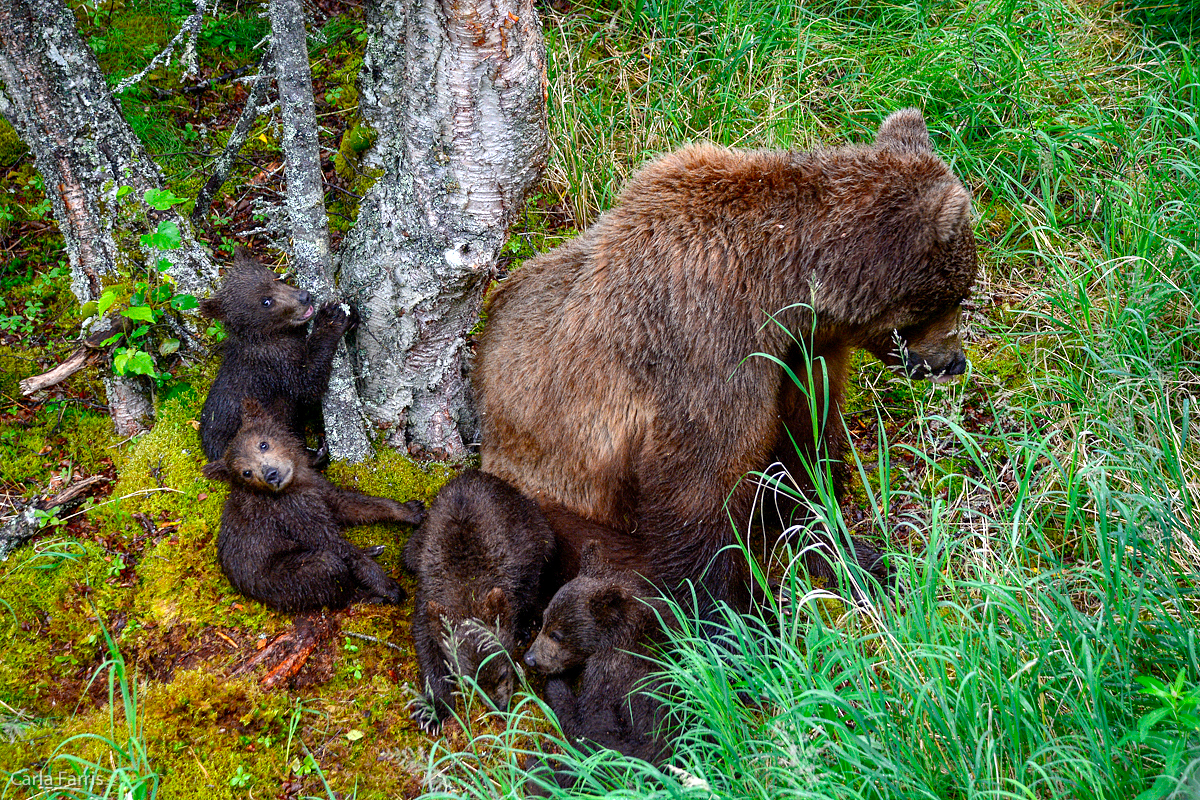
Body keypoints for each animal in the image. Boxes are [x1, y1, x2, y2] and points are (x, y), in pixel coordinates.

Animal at [472, 109, 979, 609]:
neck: (785, 290)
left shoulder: (800, 356)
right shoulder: (709, 345)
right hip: (547, 491)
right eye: (955, 297)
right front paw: (733, 612)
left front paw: (858, 555)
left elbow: (806, 452)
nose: (954, 361)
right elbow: (702, 486)